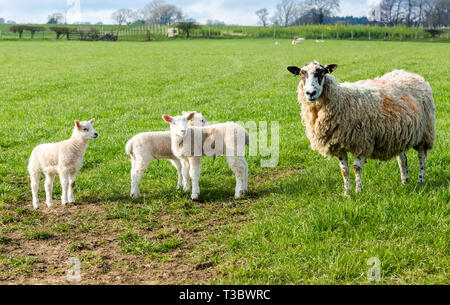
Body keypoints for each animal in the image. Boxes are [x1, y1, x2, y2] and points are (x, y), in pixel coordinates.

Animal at [288, 61, 436, 194]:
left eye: (322, 72)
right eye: (301, 73)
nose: (310, 93)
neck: (341, 99)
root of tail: (411, 74)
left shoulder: (361, 141)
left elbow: (356, 168)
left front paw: (359, 191)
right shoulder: (338, 145)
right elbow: (344, 171)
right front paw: (347, 193)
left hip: (425, 132)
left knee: (422, 157)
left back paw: (420, 180)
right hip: (399, 134)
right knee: (402, 158)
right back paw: (404, 180)